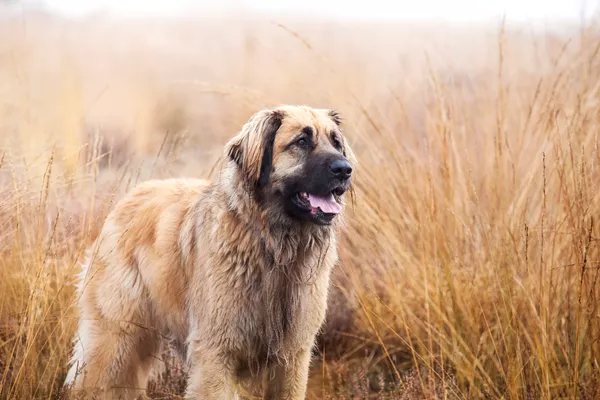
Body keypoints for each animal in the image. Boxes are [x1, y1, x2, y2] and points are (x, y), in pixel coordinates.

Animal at [64, 104, 356, 398]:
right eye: (302, 141)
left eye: (336, 143)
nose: (345, 170)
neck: (273, 247)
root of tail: (129, 198)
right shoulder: (216, 353)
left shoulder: (292, 356)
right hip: (115, 339)